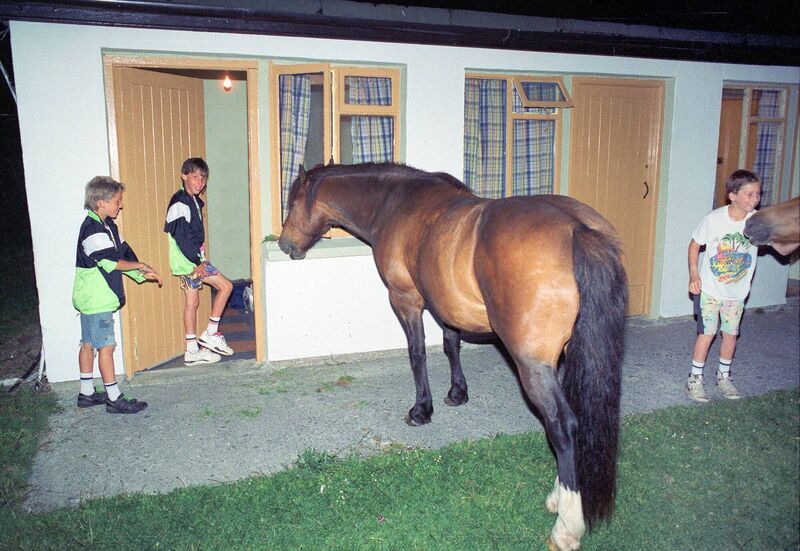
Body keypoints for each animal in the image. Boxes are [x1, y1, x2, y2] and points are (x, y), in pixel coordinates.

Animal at [279, 162, 627, 550]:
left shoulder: (406, 299)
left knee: (562, 427)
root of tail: (576, 229)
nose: (284, 244)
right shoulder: (443, 303)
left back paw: (565, 527)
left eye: (292, 203)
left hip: (533, 366)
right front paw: (457, 393)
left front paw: (421, 409)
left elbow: (417, 354)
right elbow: (450, 344)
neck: (393, 202)